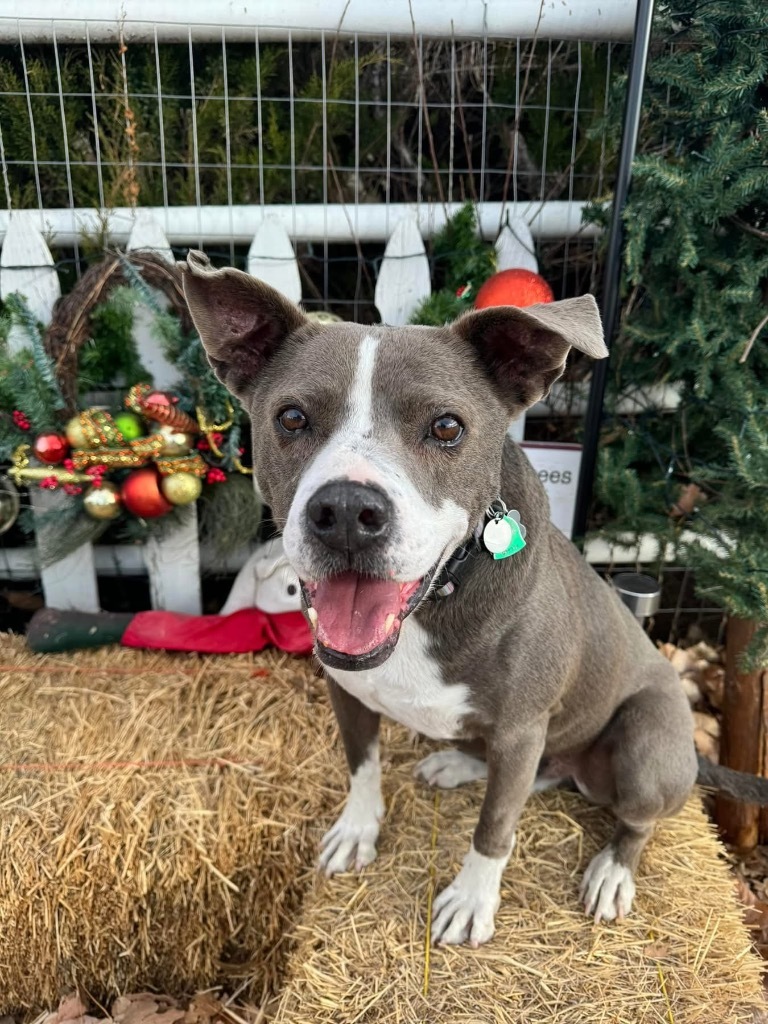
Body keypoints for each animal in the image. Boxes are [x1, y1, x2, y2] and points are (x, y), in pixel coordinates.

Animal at [179, 245, 729, 942]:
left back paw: (611, 872)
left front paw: (471, 900)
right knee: (540, 774)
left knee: (630, 819)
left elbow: (495, 826)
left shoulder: (521, 729)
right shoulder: (347, 692)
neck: (438, 599)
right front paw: (357, 830)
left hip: (645, 746)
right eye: (292, 418)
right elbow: (363, 767)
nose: (347, 510)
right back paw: (460, 764)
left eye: (446, 427)